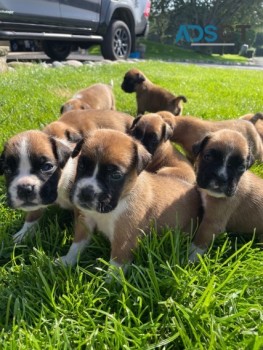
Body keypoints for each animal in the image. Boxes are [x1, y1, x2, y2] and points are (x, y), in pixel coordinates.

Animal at [64, 129, 202, 268]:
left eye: (115, 175)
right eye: (81, 165)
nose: (86, 193)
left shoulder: (123, 241)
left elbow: (116, 265)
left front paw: (110, 275)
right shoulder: (86, 221)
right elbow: (77, 244)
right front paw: (67, 261)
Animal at [190, 130, 263, 262]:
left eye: (241, 167)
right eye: (208, 157)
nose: (221, 177)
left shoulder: (212, 224)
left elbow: (198, 245)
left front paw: (188, 261)